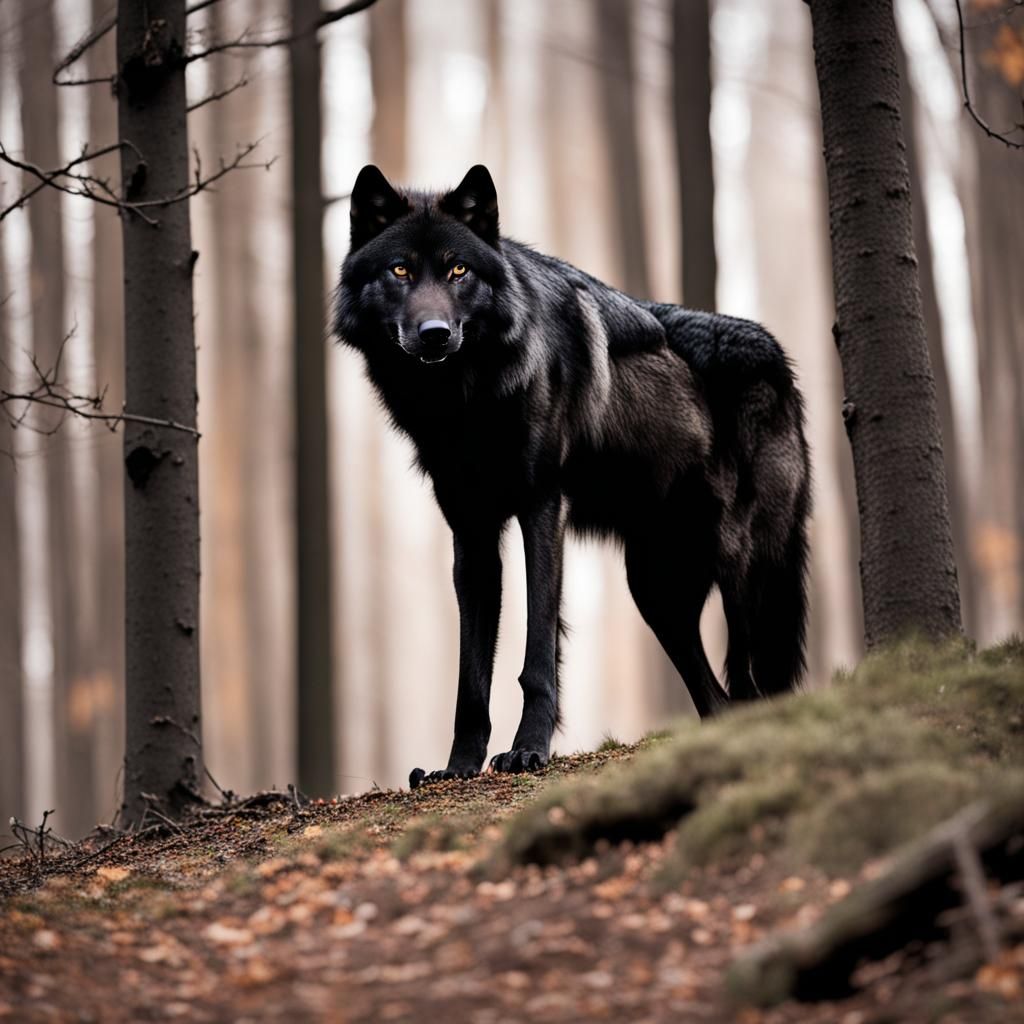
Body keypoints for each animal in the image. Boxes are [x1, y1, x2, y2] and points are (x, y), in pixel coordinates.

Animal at [335, 165, 811, 788]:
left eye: (458, 270)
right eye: (401, 270)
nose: (436, 332)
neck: (467, 398)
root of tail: (784, 364)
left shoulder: (542, 507)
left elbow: (537, 654)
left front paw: (528, 751)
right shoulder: (472, 535)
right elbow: (470, 677)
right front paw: (458, 767)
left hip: (738, 567)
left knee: (751, 681)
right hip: (654, 591)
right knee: (718, 698)